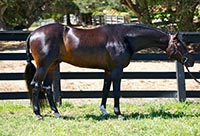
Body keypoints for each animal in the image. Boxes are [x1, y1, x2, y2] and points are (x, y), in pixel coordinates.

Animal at [24, 22, 195, 119]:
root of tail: (33, 33)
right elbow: (116, 92)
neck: (124, 37)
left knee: (47, 87)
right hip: (43, 66)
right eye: (179, 45)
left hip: (52, 66)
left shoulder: (108, 70)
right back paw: (38, 114)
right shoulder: (117, 70)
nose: (191, 61)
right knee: (35, 85)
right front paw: (119, 114)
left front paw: (104, 111)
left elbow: (105, 90)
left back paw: (57, 113)